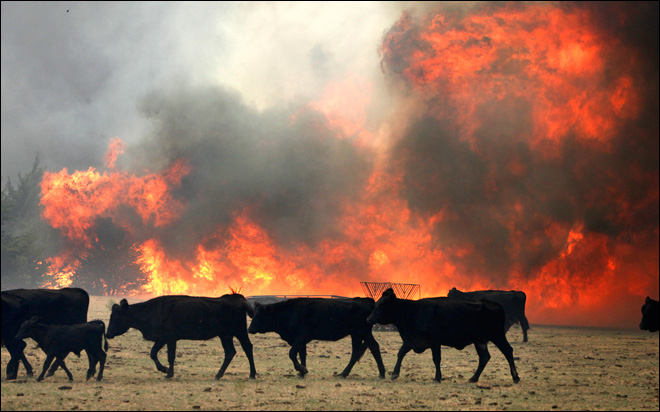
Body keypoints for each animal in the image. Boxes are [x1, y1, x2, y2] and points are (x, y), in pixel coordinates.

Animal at [105, 292, 255, 380]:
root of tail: (238, 298)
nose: (107, 334)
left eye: (116, 317)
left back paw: (252, 374)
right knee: (230, 352)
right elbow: (153, 353)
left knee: (247, 348)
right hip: (225, 335)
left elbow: (170, 356)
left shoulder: (170, 338)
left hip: (240, 332)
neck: (152, 311)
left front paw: (168, 372)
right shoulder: (162, 339)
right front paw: (165, 370)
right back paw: (219, 374)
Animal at [246, 296, 386, 380]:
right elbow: (301, 354)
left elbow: (292, 353)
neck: (289, 312)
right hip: (362, 334)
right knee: (373, 347)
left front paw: (301, 369)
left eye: (260, 315)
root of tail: (365, 300)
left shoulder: (303, 336)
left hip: (359, 332)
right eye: (253, 314)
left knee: (358, 351)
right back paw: (380, 373)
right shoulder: (300, 340)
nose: (249, 329)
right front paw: (302, 372)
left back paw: (344, 374)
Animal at [366, 288, 520, 384]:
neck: (413, 312)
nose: (368, 319)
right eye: (376, 304)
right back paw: (473, 378)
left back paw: (515, 377)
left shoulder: (434, 342)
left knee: (508, 351)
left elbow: (436, 359)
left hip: (497, 335)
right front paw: (395, 373)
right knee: (484, 357)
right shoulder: (412, 340)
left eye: (382, 306)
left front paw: (437, 377)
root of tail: (494, 304)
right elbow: (401, 353)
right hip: (480, 341)